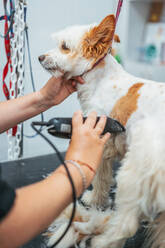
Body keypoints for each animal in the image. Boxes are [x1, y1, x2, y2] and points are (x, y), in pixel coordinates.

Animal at [39, 15, 165, 248]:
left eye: (64, 47)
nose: (40, 57)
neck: (101, 80)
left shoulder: (101, 140)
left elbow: (100, 179)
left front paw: (94, 200)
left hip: (132, 176)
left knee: (126, 225)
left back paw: (102, 240)